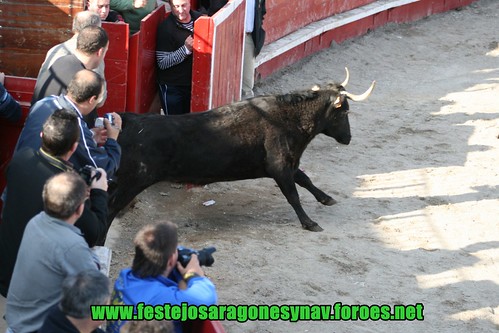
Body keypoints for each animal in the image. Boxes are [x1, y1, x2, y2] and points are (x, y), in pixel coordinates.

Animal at [108, 78, 376, 233]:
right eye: (345, 112)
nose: (348, 138)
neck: (289, 117)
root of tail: (129, 121)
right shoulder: (280, 167)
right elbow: (293, 195)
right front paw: (309, 223)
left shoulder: (288, 163)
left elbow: (305, 179)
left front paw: (326, 198)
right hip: (129, 182)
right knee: (109, 208)